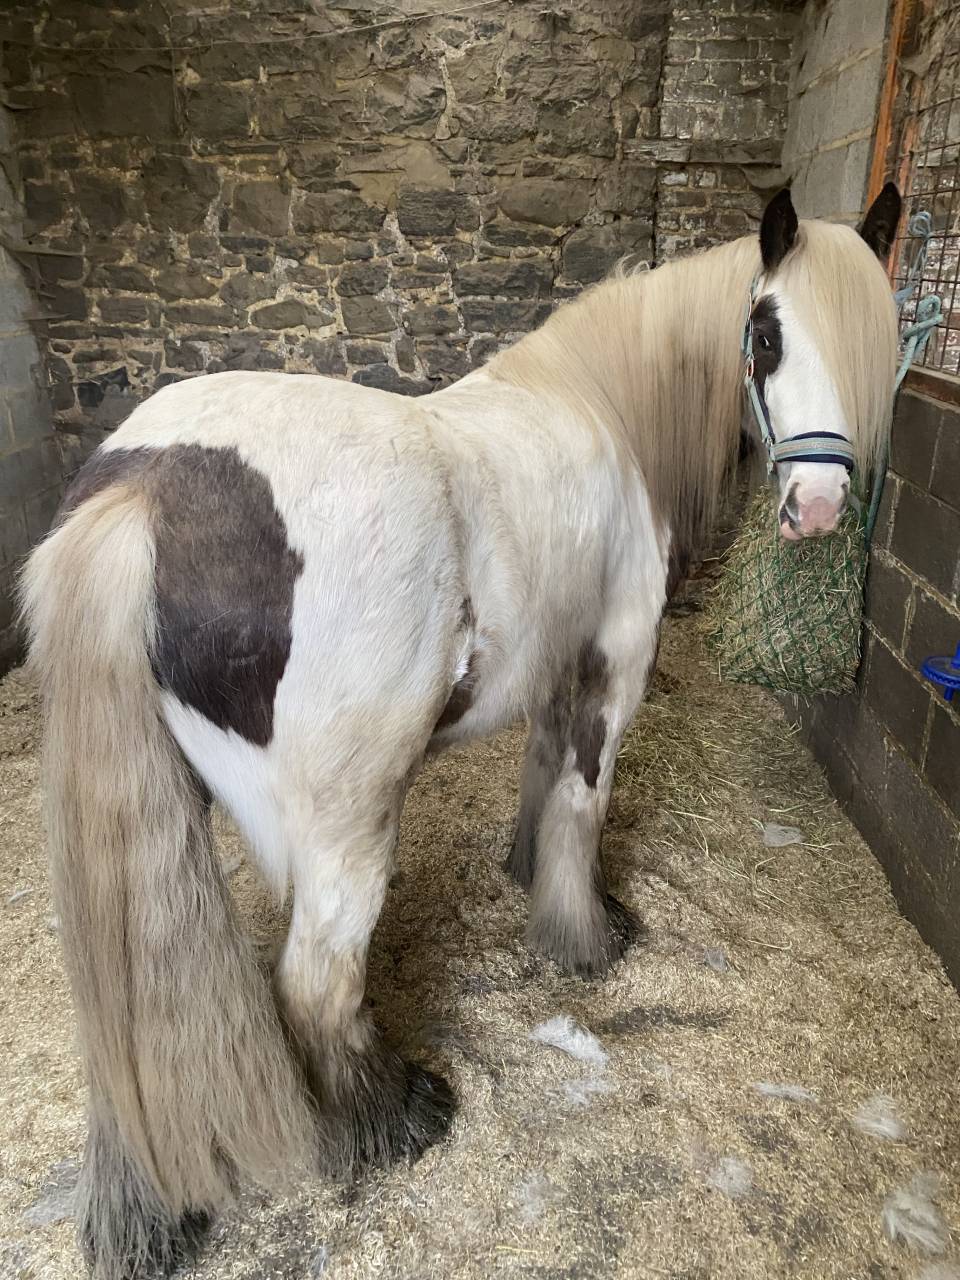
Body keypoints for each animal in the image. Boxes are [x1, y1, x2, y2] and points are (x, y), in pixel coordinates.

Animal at [21, 184, 901, 1279]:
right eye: (768, 333)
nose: (818, 506)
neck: (597, 408)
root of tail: (146, 487)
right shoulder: (616, 657)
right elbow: (582, 797)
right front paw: (585, 934)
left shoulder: (559, 662)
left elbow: (542, 771)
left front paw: (529, 873)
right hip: (346, 821)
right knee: (315, 981)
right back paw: (393, 1115)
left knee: (146, 1015)